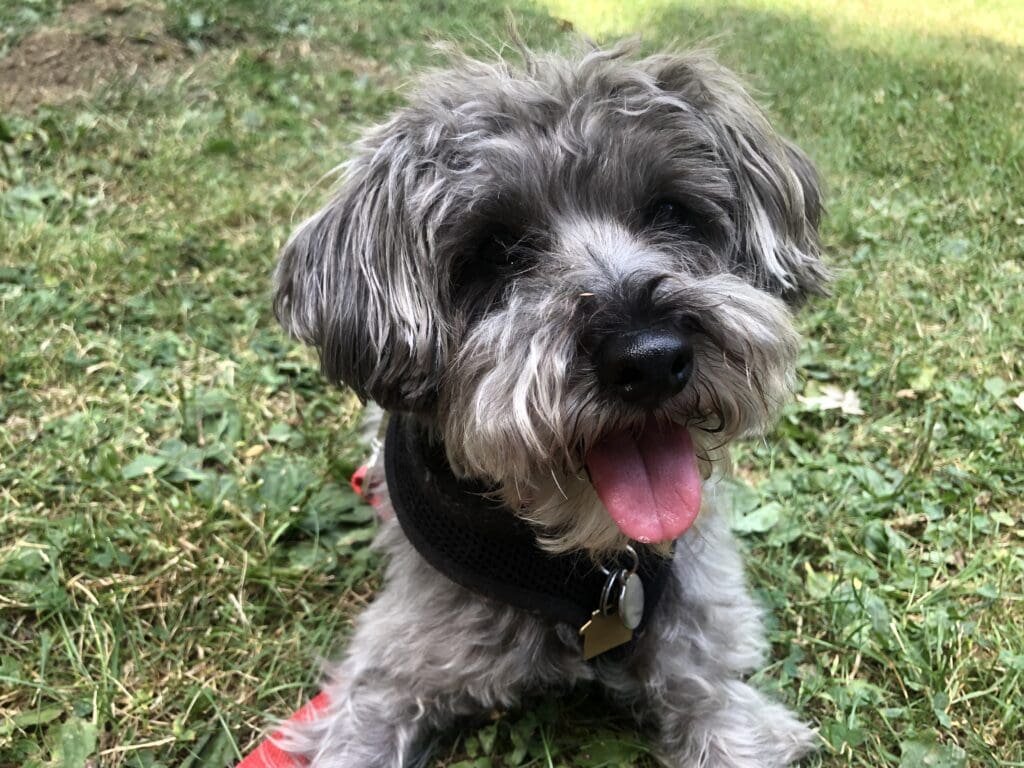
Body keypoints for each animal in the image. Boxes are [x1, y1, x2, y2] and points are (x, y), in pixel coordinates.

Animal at [270, 40, 823, 768]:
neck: (590, 571)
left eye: (670, 212)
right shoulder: (385, 681)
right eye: (499, 250)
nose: (650, 359)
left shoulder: (706, 664)